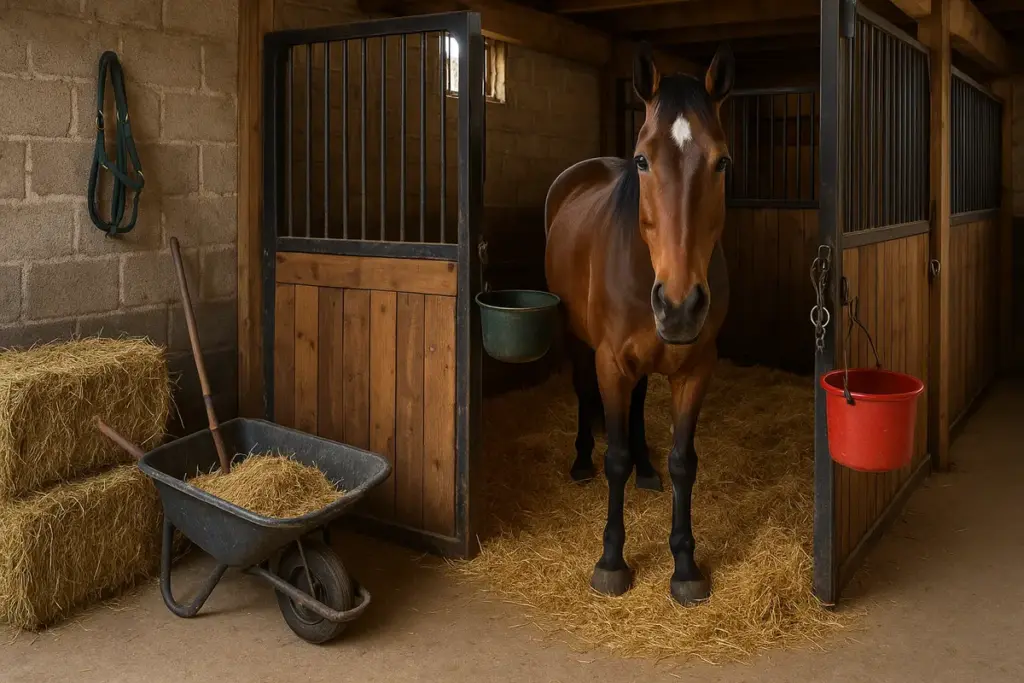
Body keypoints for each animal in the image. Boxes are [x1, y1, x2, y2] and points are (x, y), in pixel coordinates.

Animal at [543, 43, 734, 606]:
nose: (679, 305)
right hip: (578, 342)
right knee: (584, 394)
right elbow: (616, 456)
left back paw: (647, 470)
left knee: (640, 405)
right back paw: (581, 460)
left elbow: (683, 461)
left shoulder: (696, 368)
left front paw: (686, 565)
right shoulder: (611, 362)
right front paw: (611, 560)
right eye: (644, 160)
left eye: (721, 161)